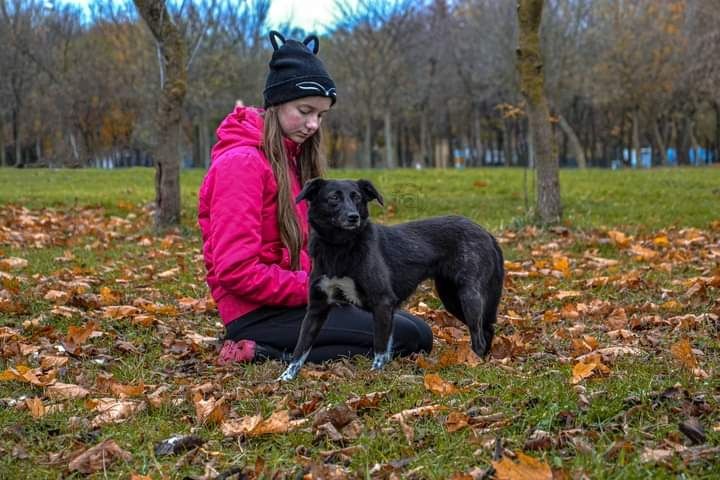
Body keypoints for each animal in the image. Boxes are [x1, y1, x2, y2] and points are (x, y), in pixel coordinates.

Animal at [278, 178, 504, 380]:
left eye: (357, 197)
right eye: (333, 197)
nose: (353, 217)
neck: (339, 247)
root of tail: (486, 232)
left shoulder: (383, 302)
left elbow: (379, 346)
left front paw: (375, 375)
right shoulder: (317, 306)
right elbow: (300, 347)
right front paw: (286, 377)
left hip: (468, 296)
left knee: (478, 334)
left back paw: (474, 362)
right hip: (451, 297)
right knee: (486, 328)